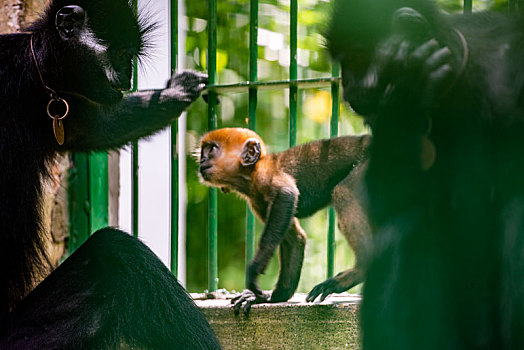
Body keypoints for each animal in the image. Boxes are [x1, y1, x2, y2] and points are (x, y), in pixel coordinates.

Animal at [0, 0, 221, 348]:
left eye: (131, 57)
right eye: (121, 54)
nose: (128, 78)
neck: (32, 72)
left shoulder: (53, 105)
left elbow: (102, 128)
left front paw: (176, 91)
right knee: (117, 252)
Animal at [198, 127, 372, 314]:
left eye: (212, 149)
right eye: (203, 151)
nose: (202, 160)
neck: (249, 177)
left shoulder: (265, 176)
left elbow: (287, 193)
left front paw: (255, 270)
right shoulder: (257, 201)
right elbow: (296, 239)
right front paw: (270, 298)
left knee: (343, 192)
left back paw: (359, 271)